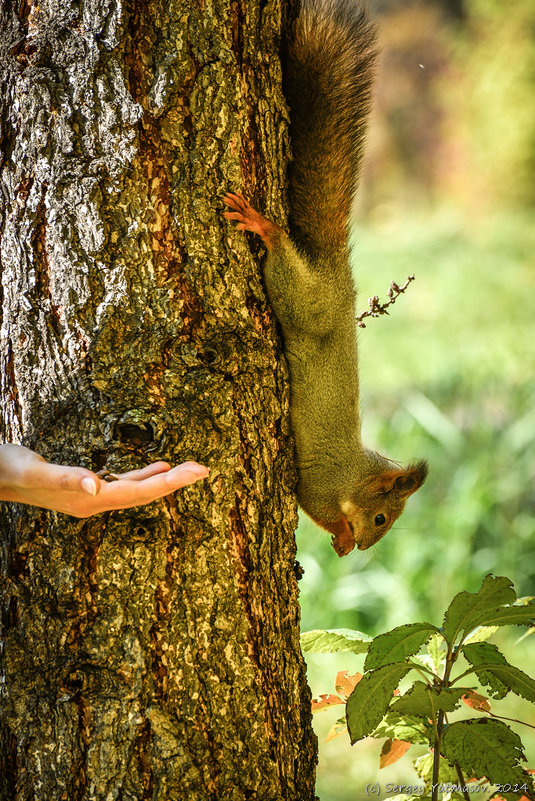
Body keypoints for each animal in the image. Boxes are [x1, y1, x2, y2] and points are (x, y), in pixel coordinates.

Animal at [224, 0, 430, 556]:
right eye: (381, 518)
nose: (363, 549)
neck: (353, 476)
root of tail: (335, 273)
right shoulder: (317, 484)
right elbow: (315, 509)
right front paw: (338, 534)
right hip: (301, 301)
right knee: (284, 270)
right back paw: (266, 229)